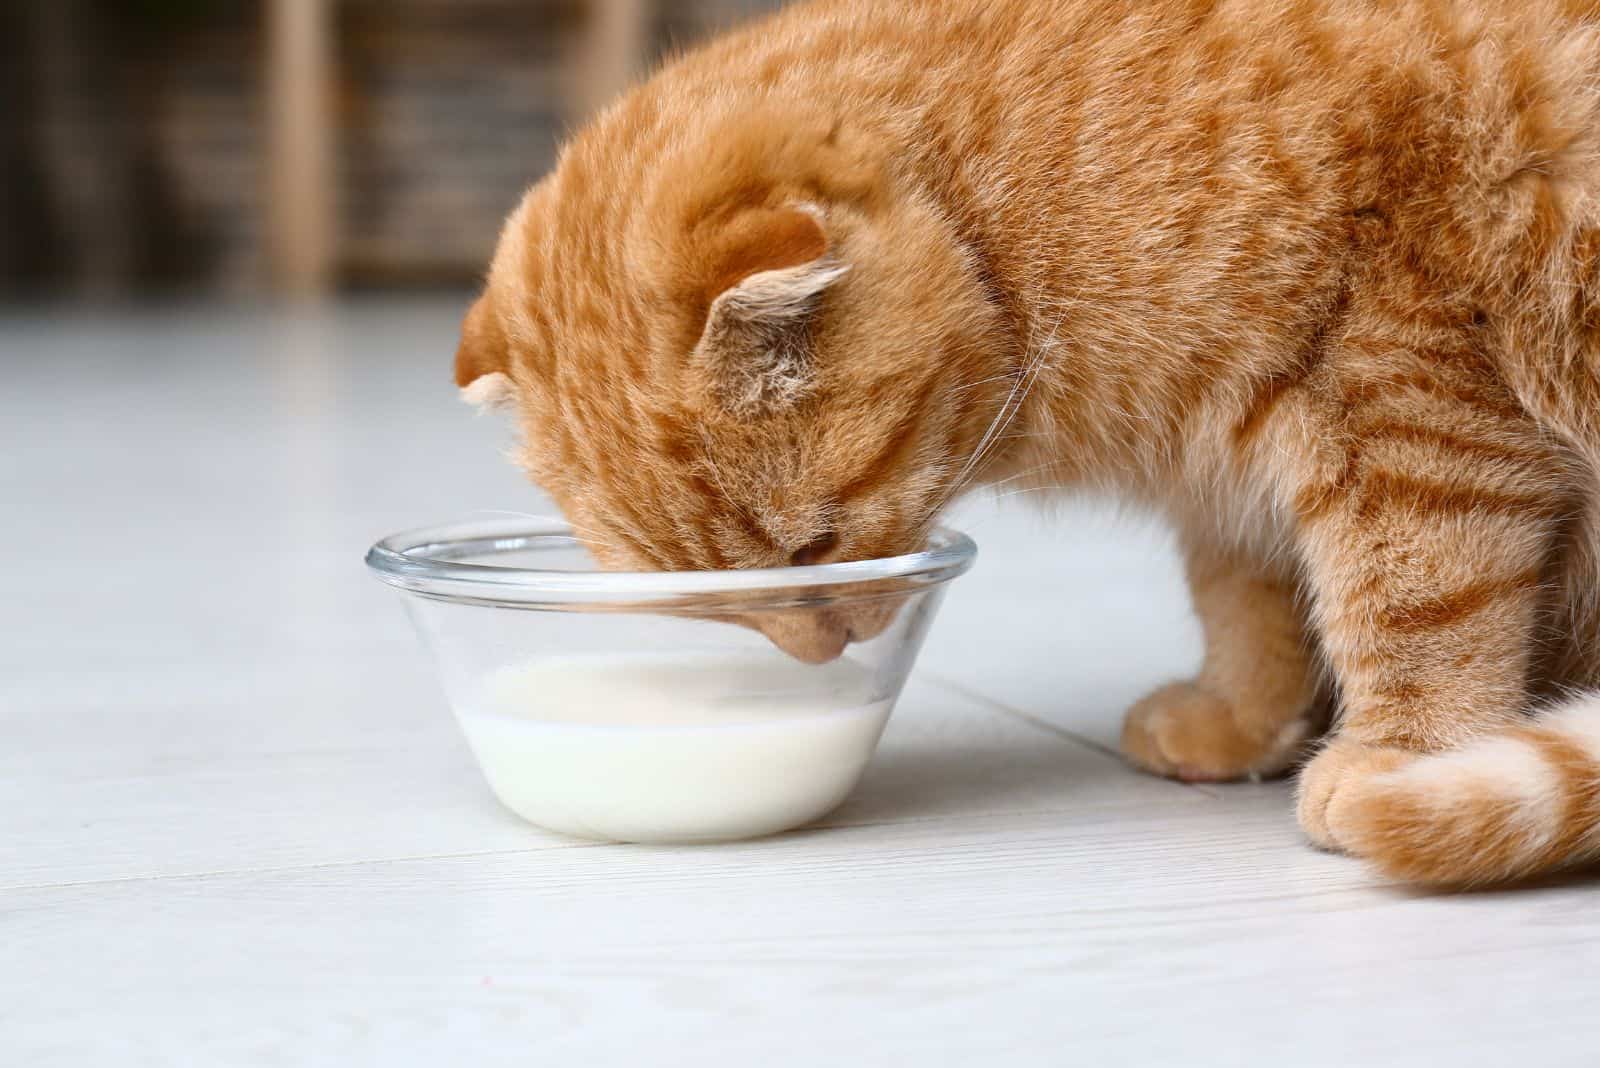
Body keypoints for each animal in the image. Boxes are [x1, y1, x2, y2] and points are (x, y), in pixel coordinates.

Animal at [448, 0, 1600, 882]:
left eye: (813, 550)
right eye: (714, 609)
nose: (826, 655)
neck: (1011, 210)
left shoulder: (1404, 397)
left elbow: (1414, 602)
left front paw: (1404, 757)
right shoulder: (1233, 472)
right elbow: (1251, 600)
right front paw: (1243, 717)